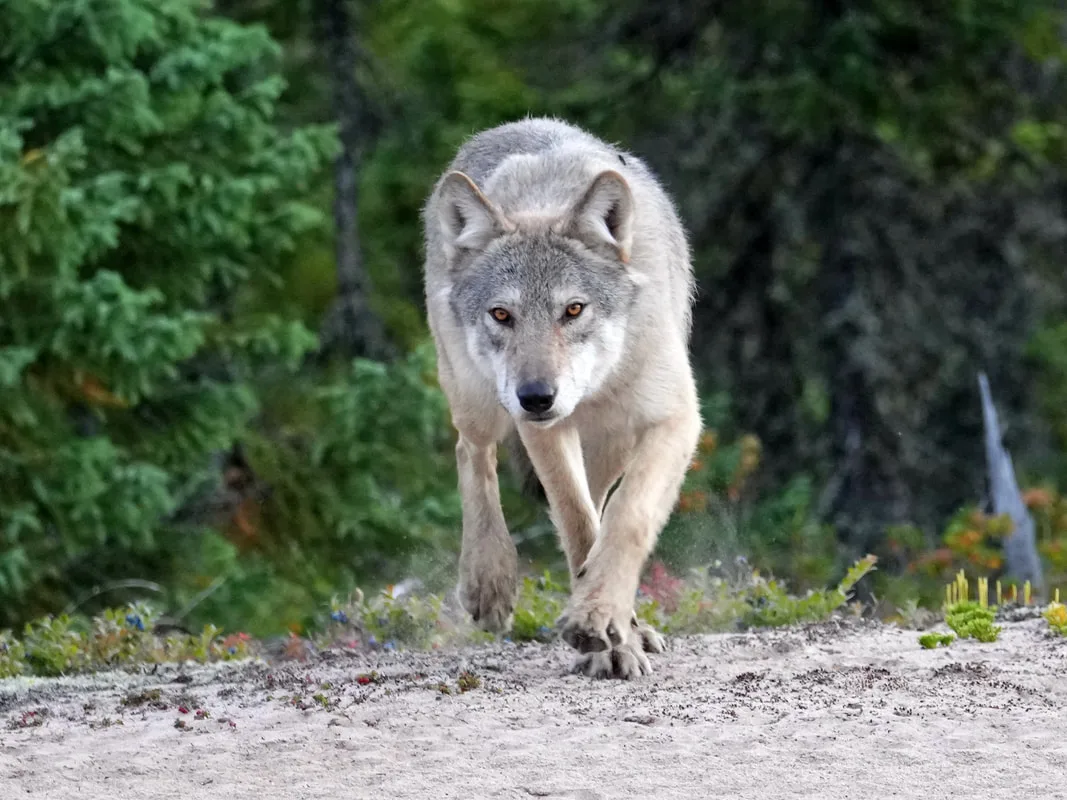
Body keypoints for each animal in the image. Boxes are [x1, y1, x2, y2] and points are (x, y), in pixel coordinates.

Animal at [422, 117, 701, 679]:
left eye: (573, 309)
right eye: (502, 314)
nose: (535, 397)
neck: (598, 384)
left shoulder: (675, 420)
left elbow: (626, 519)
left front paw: (604, 618)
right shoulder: (544, 431)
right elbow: (577, 520)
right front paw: (607, 637)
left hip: (612, 444)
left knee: (600, 498)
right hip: (477, 398)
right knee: (473, 453)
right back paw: (490, 583)